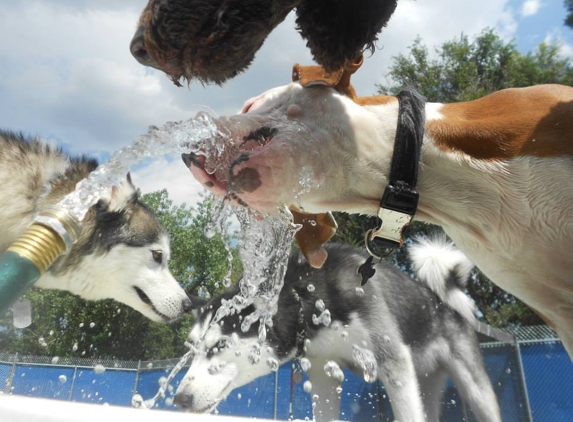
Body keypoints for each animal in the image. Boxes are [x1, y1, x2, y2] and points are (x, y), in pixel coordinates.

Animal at [175, 241, 500, 422]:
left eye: (218, 347)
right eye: (191, 348)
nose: (180, 400)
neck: (307, 297)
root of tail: (439, 298)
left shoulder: (393, 361)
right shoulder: (323, 372)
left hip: (474, 388)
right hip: (425, 383)